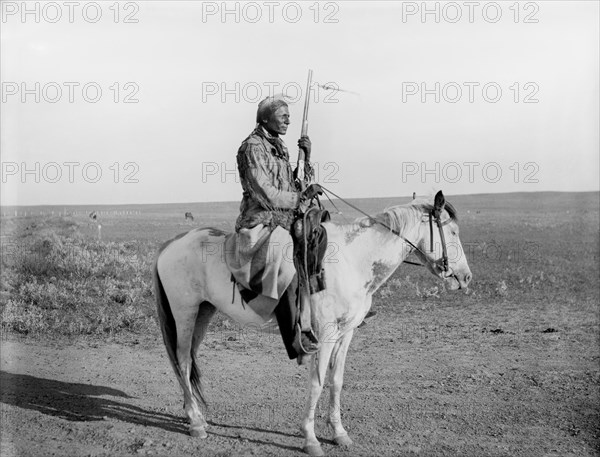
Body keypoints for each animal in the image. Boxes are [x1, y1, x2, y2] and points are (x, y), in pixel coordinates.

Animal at [152, 191, 472, 454]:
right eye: (453, 230)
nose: (465, 277)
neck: (354, 260)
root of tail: (170, 244)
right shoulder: (325, 334)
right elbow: (317, 382)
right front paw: (310, 438)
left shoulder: (346, 333)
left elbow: (336, 381)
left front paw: (339, 433)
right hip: (185, 313)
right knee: (182, 359)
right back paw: (196, 423)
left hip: (204, 313)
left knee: (188, 360)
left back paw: (194, 414)